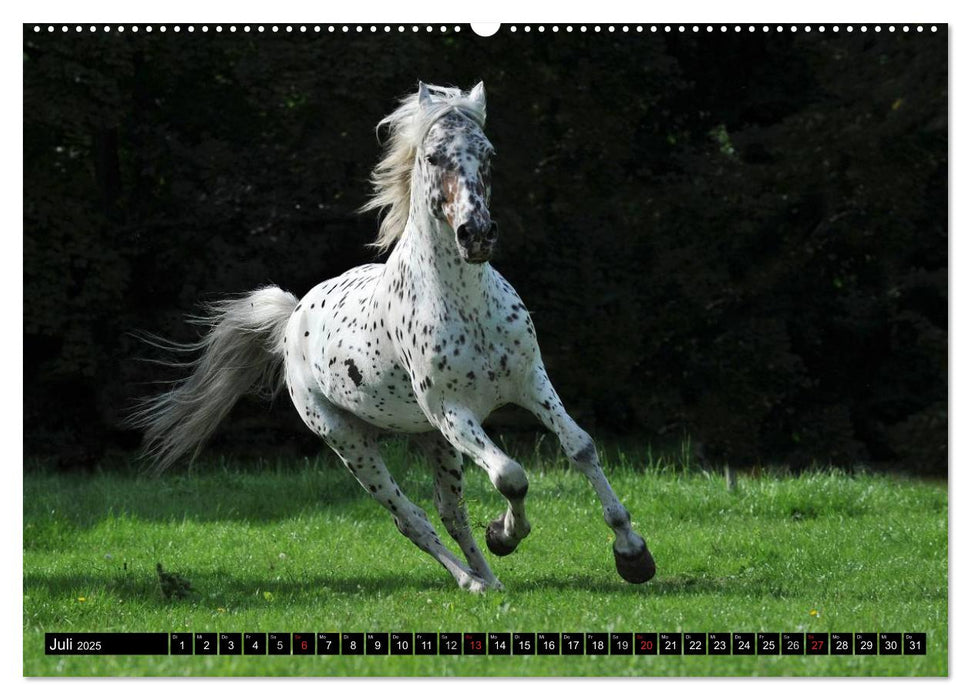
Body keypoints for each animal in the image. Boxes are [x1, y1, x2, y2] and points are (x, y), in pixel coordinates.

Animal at [133, 82, 656, 592]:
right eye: (434, 157)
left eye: (488, 154)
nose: (477, 234)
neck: (467, 305)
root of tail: (292, 317)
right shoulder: (453, 412)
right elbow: (510, 476)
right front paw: (505, 535)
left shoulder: (530, 383)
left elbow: (580, 447)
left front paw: (632, 553)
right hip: (352, 443)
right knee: (412, 519)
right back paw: (470, 581)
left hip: (430, 439)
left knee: (451, 512)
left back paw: (490, 581)